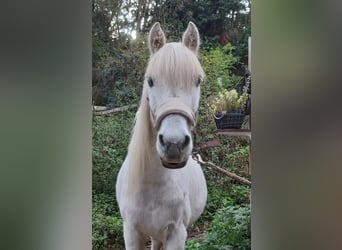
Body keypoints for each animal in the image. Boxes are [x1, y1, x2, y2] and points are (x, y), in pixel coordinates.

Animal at [116, 22, 207, 250]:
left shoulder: (176, 234)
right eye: (150, 81)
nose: (174, 144)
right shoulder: (131, 232)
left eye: (198, 81)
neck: (152, 185)